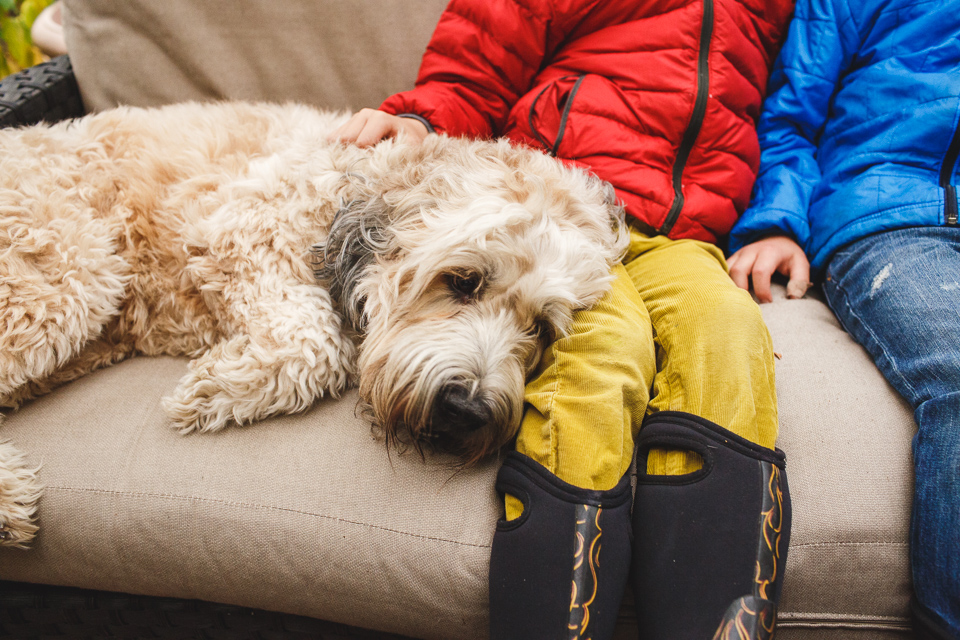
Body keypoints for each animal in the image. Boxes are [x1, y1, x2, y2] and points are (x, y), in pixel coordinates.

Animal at [0, 101, 632, 544]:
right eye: (463, 281)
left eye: (542, 329)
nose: (467, 409)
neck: (359, 188)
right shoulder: (241, 226)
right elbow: (318, 344)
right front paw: (210, 389)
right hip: (69, 276)